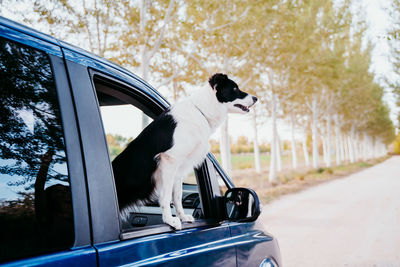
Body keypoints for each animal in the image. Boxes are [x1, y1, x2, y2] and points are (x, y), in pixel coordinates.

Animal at [111, 74, 258, 230]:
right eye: (235, 88)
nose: (256, 98)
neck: (201, 111)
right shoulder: (169, 160)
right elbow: (166, 196)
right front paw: (170, 220)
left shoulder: (178, 168)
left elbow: (177, 196)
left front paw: (182, 217)